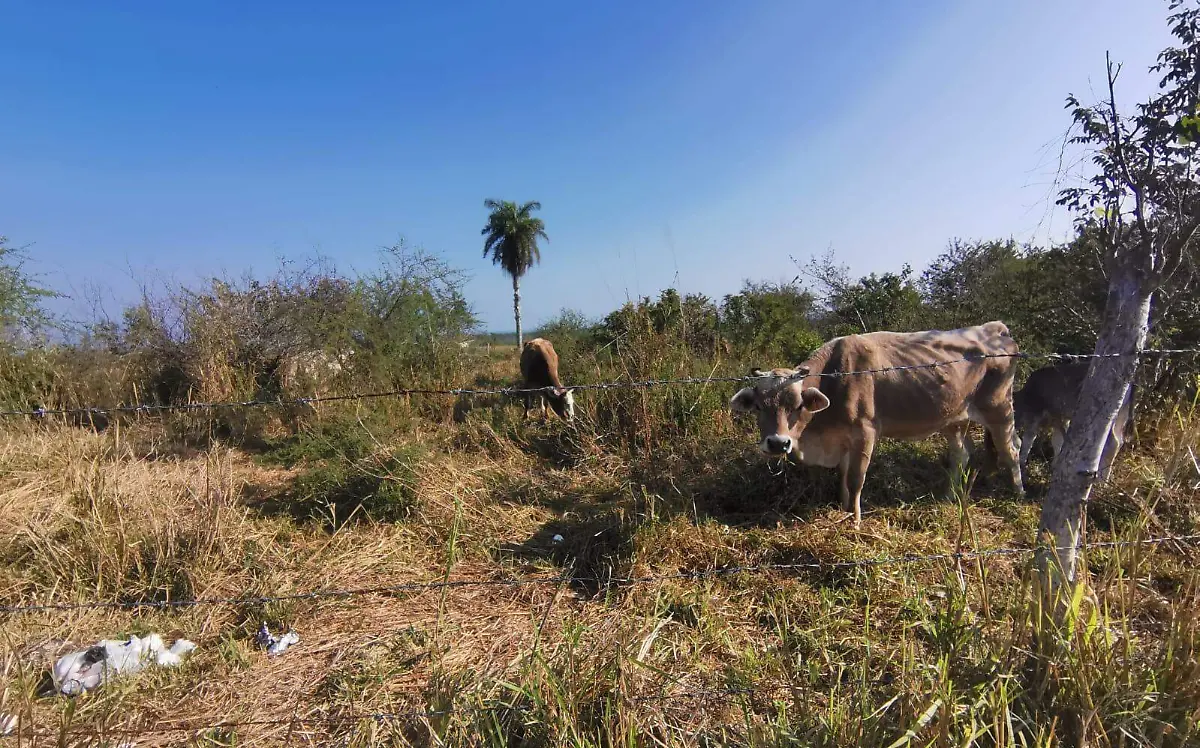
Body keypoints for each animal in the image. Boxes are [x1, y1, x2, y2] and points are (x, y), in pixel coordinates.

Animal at [724, 321, 1027, 525]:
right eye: (759, 406)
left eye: (798, 405)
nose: (778, 443)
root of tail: (994, 329)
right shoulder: (843, 438)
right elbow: (843, 476)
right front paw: (843, 506)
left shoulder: (865, 433)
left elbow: (856, 478)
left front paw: (855, 519)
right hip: (955, 418)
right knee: (961, 454)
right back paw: (948, 497)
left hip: (999, 409)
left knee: (1011, 448)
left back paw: (1019, 493)